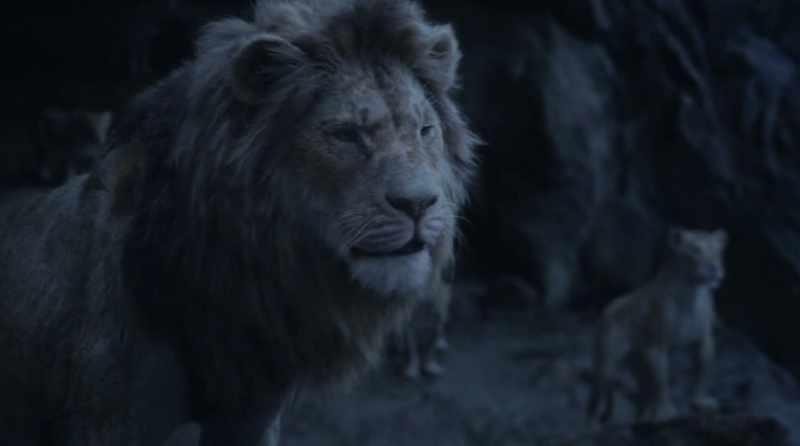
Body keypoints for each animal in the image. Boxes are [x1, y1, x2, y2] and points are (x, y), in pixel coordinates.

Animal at [586, 227, 727, 425]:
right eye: (695, 250)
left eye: (717, 251)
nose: (714, 268)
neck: (691, 294)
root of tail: (608, 307)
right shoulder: (655, 345)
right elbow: (662, 379)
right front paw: (665, 411)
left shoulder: (704, 340)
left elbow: (703, 369)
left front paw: (700, 401)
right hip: (607, 364)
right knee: (597, 396)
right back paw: (593, 423)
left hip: (636, 361)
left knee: (643, 390)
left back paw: (644, 417)